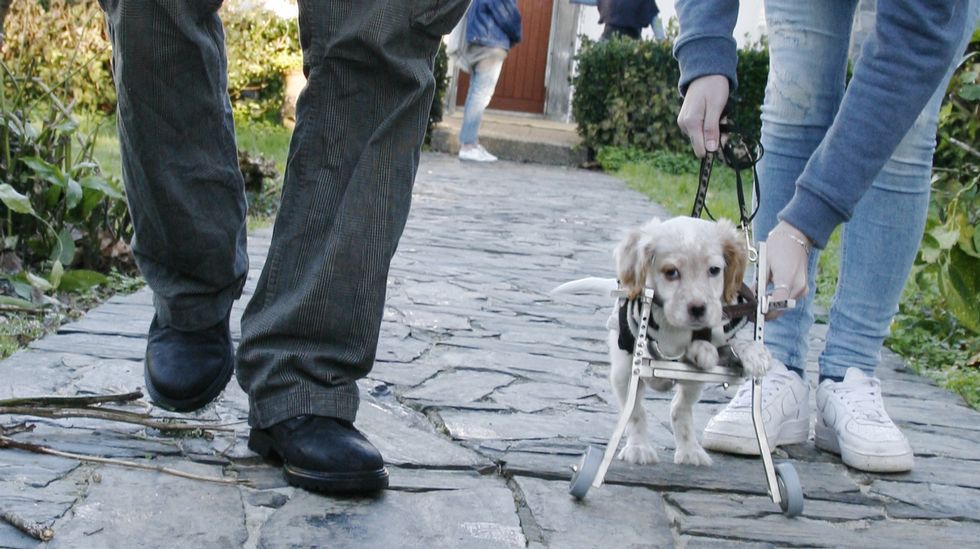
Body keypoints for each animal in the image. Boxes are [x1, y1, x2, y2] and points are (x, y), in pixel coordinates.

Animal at [556, 216, 768, 464]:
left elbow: (728, 345)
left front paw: (753, 353)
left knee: (679, 408)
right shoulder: (634, 363)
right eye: (671, 272)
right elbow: (637, 410)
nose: (698, 309)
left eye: (715, 270)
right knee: (644, 408)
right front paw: (639, 447)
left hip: (693, 383)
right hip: (622, 372)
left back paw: (690, 450)